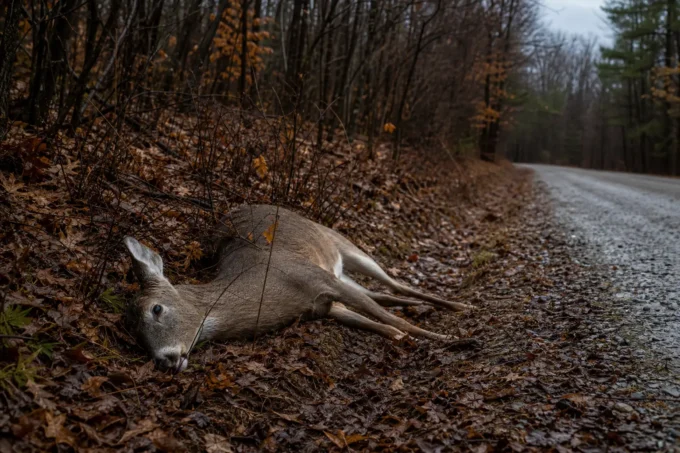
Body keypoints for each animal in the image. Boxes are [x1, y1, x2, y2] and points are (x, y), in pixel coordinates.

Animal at [123, 204, 474, 372]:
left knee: (395, 282)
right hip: (339, 271)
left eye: (157, 309)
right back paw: (429, 308)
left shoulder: (321, 280)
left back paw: (460, 307)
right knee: (381, 293)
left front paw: (452, 340)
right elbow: (383, 325)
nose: (165, 360)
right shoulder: (324, 306)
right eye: (137, 336)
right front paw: (405, 338)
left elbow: (392, 320)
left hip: (343, 246)